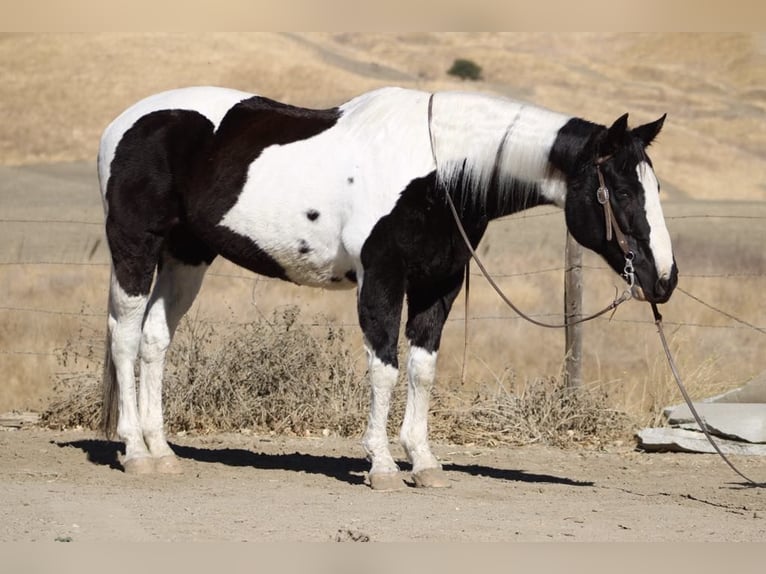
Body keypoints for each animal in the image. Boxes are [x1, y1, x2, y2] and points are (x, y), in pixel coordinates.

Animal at [97, 85, 678, 489]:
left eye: (654, 187)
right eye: (623, 190)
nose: (665, 280)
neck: (439, 173)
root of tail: (122, 123)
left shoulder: (438, 287)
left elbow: (421, 370)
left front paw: (424, 462)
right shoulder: (381, 281)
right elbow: (385, 369)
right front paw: (380, 465)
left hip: (187, 256)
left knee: (154, 341)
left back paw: (161, 451)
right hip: (136, 249)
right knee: (124, 336)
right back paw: (135, 452)